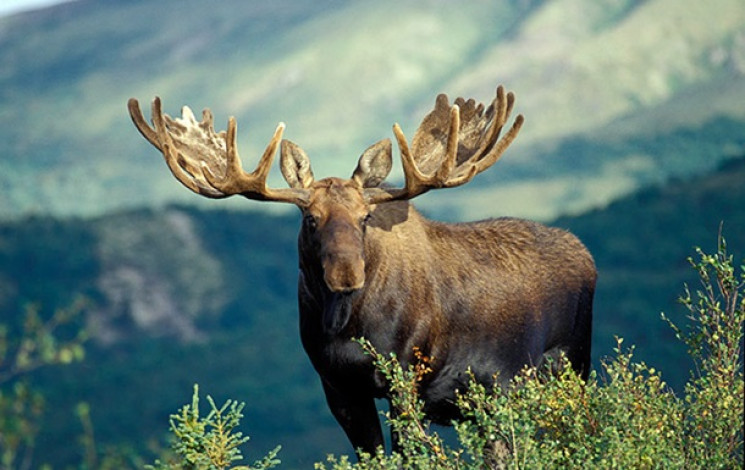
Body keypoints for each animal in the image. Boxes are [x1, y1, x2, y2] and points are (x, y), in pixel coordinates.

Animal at [126, 84, 592, 456]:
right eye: (310, 218)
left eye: (366, 217)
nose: (346, 276)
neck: (349, 327)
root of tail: (584, 253)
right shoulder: (338, 387)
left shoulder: (406, 379)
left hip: (571, 367)